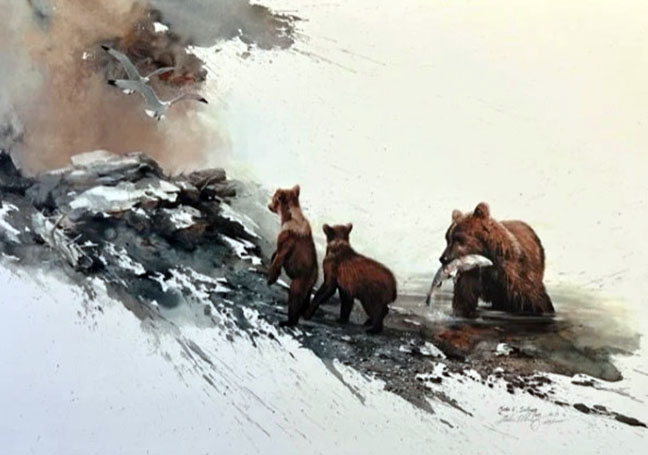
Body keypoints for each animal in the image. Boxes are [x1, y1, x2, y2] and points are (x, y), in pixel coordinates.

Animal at [266, 185, 318, 327]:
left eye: (274, 197)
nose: (268, 205)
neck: (287, 217)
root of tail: (316, 276)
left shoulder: (288, 238)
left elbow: (280, 254)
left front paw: (270, 278)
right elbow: (276, 252)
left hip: (301, 279)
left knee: (295, 297)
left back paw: (288, 321)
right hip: (309, 285)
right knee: (305, 299)